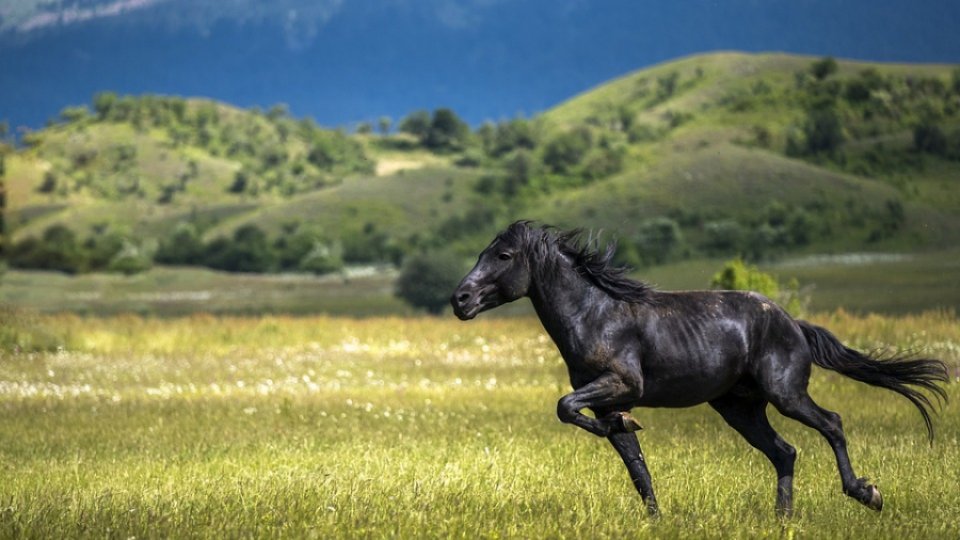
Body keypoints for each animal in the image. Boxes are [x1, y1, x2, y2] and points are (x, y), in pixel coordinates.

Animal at [450, 221, 944, 516]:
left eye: (503, 256)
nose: (460, 300)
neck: (596, 314)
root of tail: (794, 323)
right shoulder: (609, 399)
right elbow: (634, 464)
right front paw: (654, 515)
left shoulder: (621, 384)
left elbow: (565, 406)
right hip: (740, 408)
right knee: (785, 452)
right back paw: (782, 519)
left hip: (786, 394)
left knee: (832, 424)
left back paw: (866, 493)